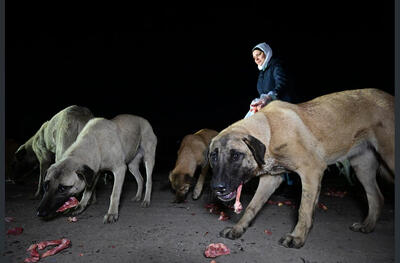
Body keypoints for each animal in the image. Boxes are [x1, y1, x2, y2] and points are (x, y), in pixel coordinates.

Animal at [208, 88, 396, 250]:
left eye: (236, 155)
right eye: (213, 156)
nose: (217, 188)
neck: (270, 131)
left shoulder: (312, 171)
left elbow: (303, 210)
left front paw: (297, 237)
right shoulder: (270, 179)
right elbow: (252, 207)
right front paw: (238, 228)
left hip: (390, 159)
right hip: (362, 167)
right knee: (376, 197)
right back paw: (367, 225)